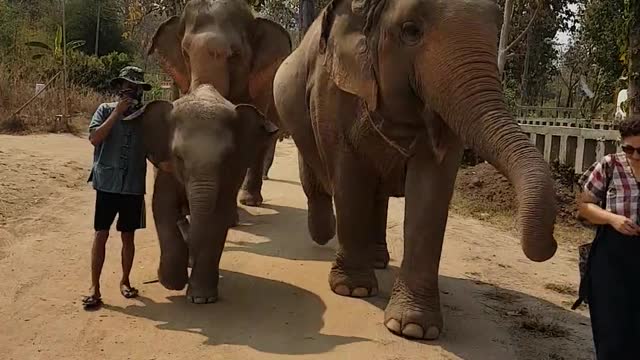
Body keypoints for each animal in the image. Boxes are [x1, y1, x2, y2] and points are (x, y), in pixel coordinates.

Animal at [140, 85, 280, 304]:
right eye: (178, 157)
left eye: (227, 157)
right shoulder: (165, 169)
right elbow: (162, 207)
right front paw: (172, 283)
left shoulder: (230, 174)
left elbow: (217, 218)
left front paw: (201, 299)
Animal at [272, 0, 556, 340]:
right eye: (410, 31)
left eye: (495, 29)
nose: (552, 245)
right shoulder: (332, 89)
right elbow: (349, 177)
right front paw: (352, 291)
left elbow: (431, 188)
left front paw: (414, 329)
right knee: (316, 177)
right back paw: (327, 235)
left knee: (377, 195)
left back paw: (378, 260)